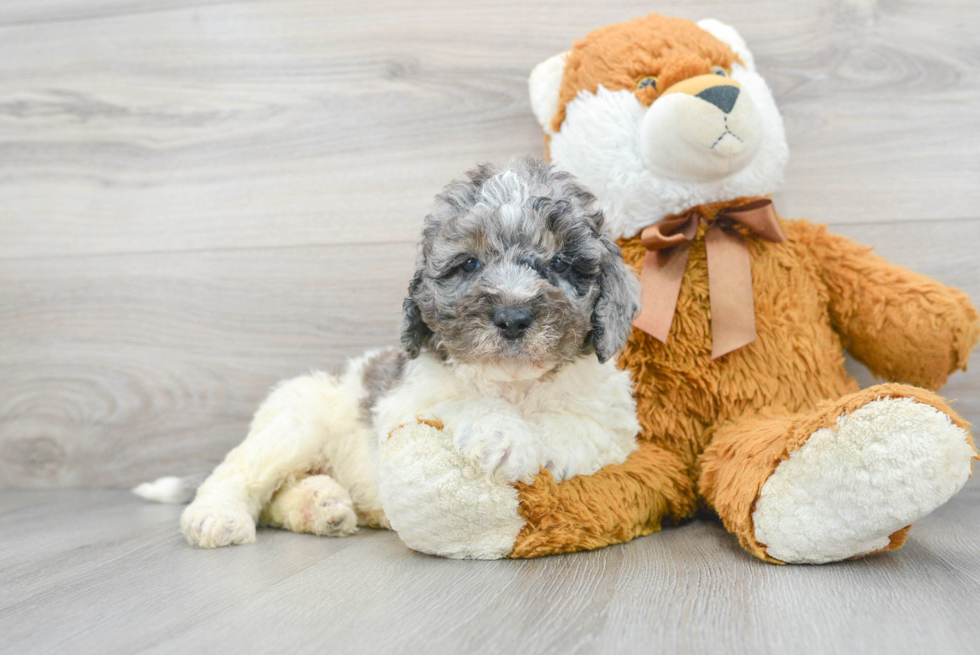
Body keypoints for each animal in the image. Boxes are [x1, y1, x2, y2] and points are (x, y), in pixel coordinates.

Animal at [138, 158, 644, 548]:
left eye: (560, 263)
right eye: (469, 264)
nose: (513, 317)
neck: (514, 384)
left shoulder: (616, 421)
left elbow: (584, 425)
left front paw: (546, 445)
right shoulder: (401, 405)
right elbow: (459, 403)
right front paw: (505, 437)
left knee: (280, 497)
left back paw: (320, 508)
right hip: (292, 425)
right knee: (239, 474)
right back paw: (217, 517)